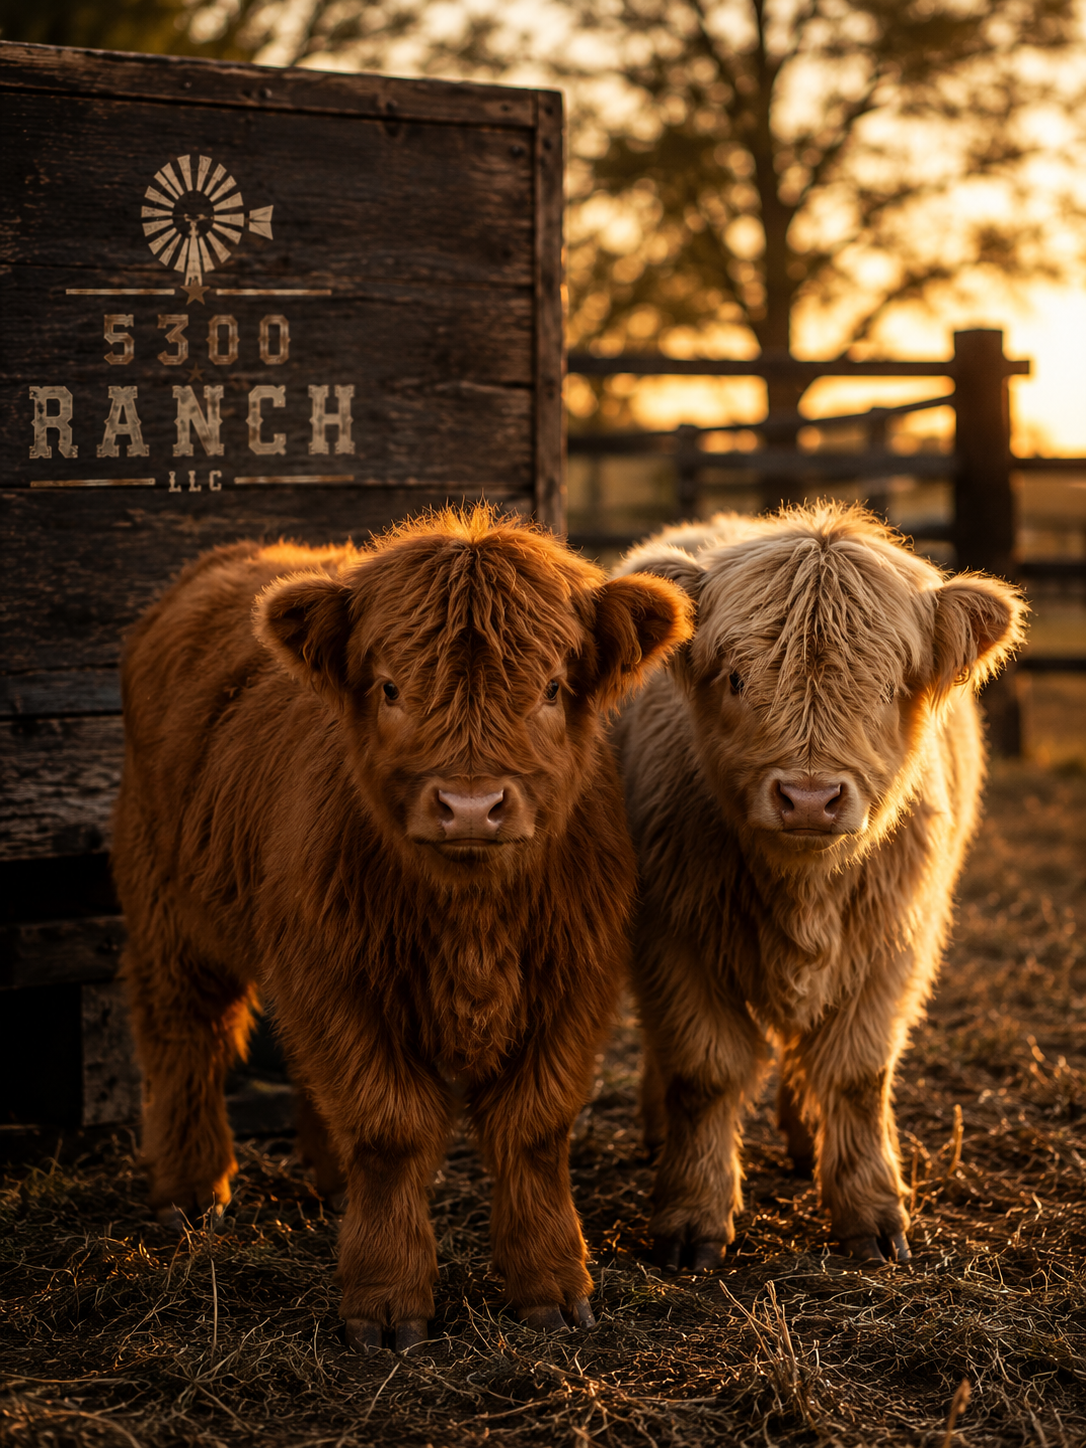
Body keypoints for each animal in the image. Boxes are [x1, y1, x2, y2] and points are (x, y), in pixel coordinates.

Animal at [112, 506, 692, 1352]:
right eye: (390, 686)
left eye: (552, 687)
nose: (472, 805)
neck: (471, 916)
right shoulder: (337, 978)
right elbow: (390, 1129)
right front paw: (386, 1301)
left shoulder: (574, 981)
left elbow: (533, 1129)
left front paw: (553, 1287)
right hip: (168, 905)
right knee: (185, 1032)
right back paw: (190, 1192)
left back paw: (327, 1182)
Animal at [611, 503, 1026, 1270]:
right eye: (736, 678)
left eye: (890, 686)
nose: (809, 798)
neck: (804, 889)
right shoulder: (673, 936)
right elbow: (702, 1071)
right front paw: (692, 1215)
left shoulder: (895, 942)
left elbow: (857, 1074)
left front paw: (871, 1212)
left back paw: (805, 1142)